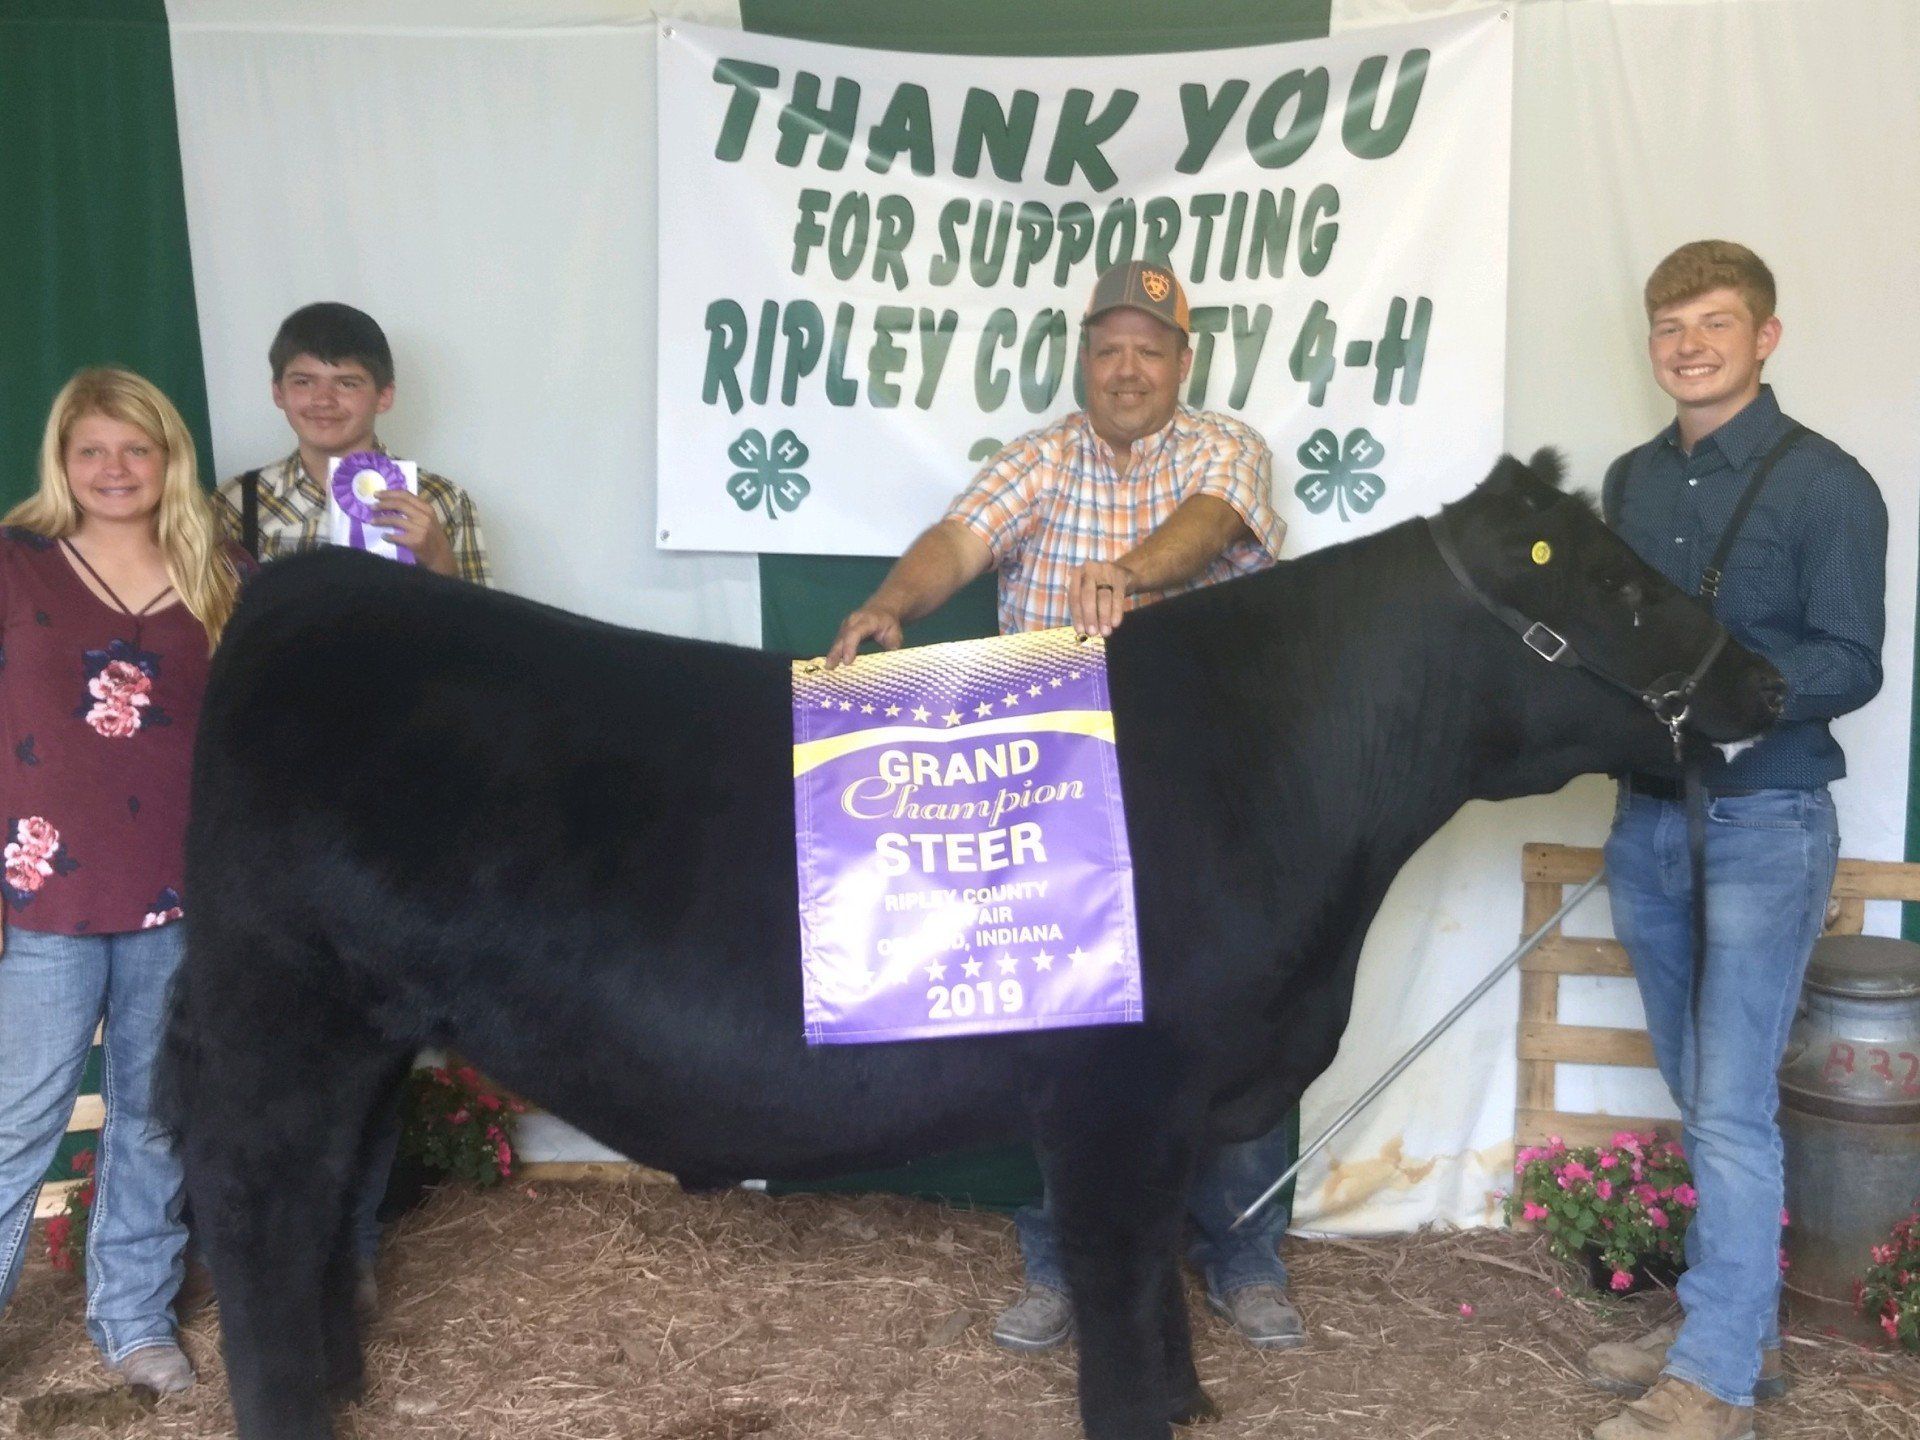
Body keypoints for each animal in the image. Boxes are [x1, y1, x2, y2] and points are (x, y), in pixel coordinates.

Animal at [162, 452, 1782, 1440]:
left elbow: (1157, 1280)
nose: (1765, 679)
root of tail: (300, 588)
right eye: (1618, 584)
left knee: (329, 1205)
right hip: (279, 1012)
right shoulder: (1115, 1094)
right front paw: (1148, 1407)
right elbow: (1121, 1287)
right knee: (257, 1212)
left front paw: (1190, 1399)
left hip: (372, 1038)